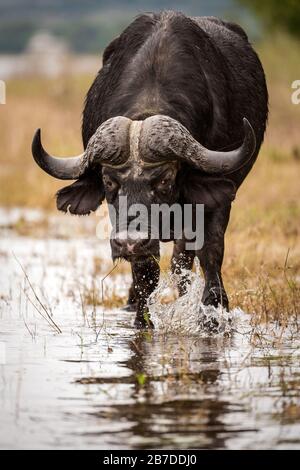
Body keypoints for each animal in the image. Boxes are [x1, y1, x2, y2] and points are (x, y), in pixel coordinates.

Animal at [31, 10, 268, 326]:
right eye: (109, 182)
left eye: (165, 180)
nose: (129, 243)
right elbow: (146, 272)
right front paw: (142, 319)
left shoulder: (216, 198)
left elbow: (210, 252)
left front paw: (213, 314)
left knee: (184, 257)